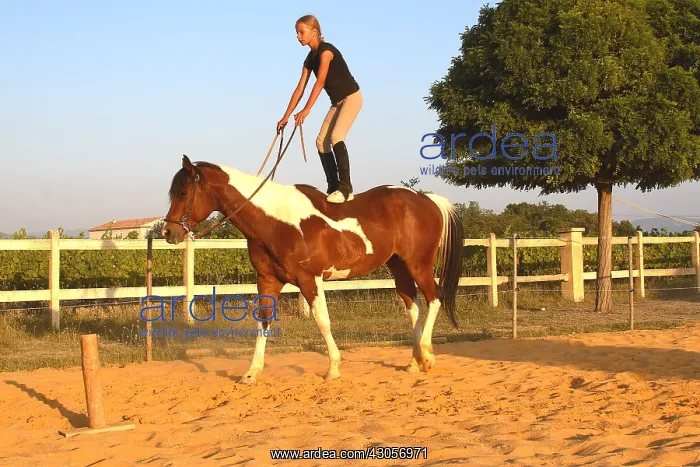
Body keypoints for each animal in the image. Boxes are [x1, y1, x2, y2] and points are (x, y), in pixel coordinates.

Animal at [162, 155, 464, 384]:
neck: (275, 220)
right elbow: (263, 321)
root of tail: (427, 200)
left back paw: (427, 356)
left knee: (434, 298)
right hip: (398, 265)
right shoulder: (267, 280)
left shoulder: (310, 279)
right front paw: (251, 373)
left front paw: (333, 369)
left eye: (183, 192)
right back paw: (414, 361)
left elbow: (322, 321)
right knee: (413, 305)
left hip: (418, 264)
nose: (168, 232)